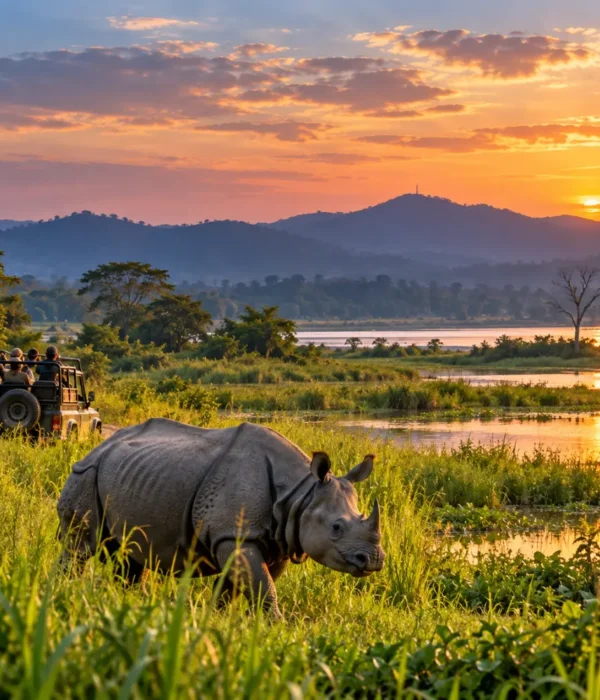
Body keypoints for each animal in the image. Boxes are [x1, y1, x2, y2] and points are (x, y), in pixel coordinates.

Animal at [57, 418, 385, 617]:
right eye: (336, 527)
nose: (373, 560)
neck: (300, 494)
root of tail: (97, 446)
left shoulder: (271, 540)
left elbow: (241, 585)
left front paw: (215, 618)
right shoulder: (234, 534)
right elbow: (264, 588)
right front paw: (276, 625)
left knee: (130, 555)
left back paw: (128, 602)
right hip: (86, 473)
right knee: (80, 546)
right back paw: (65, 591)